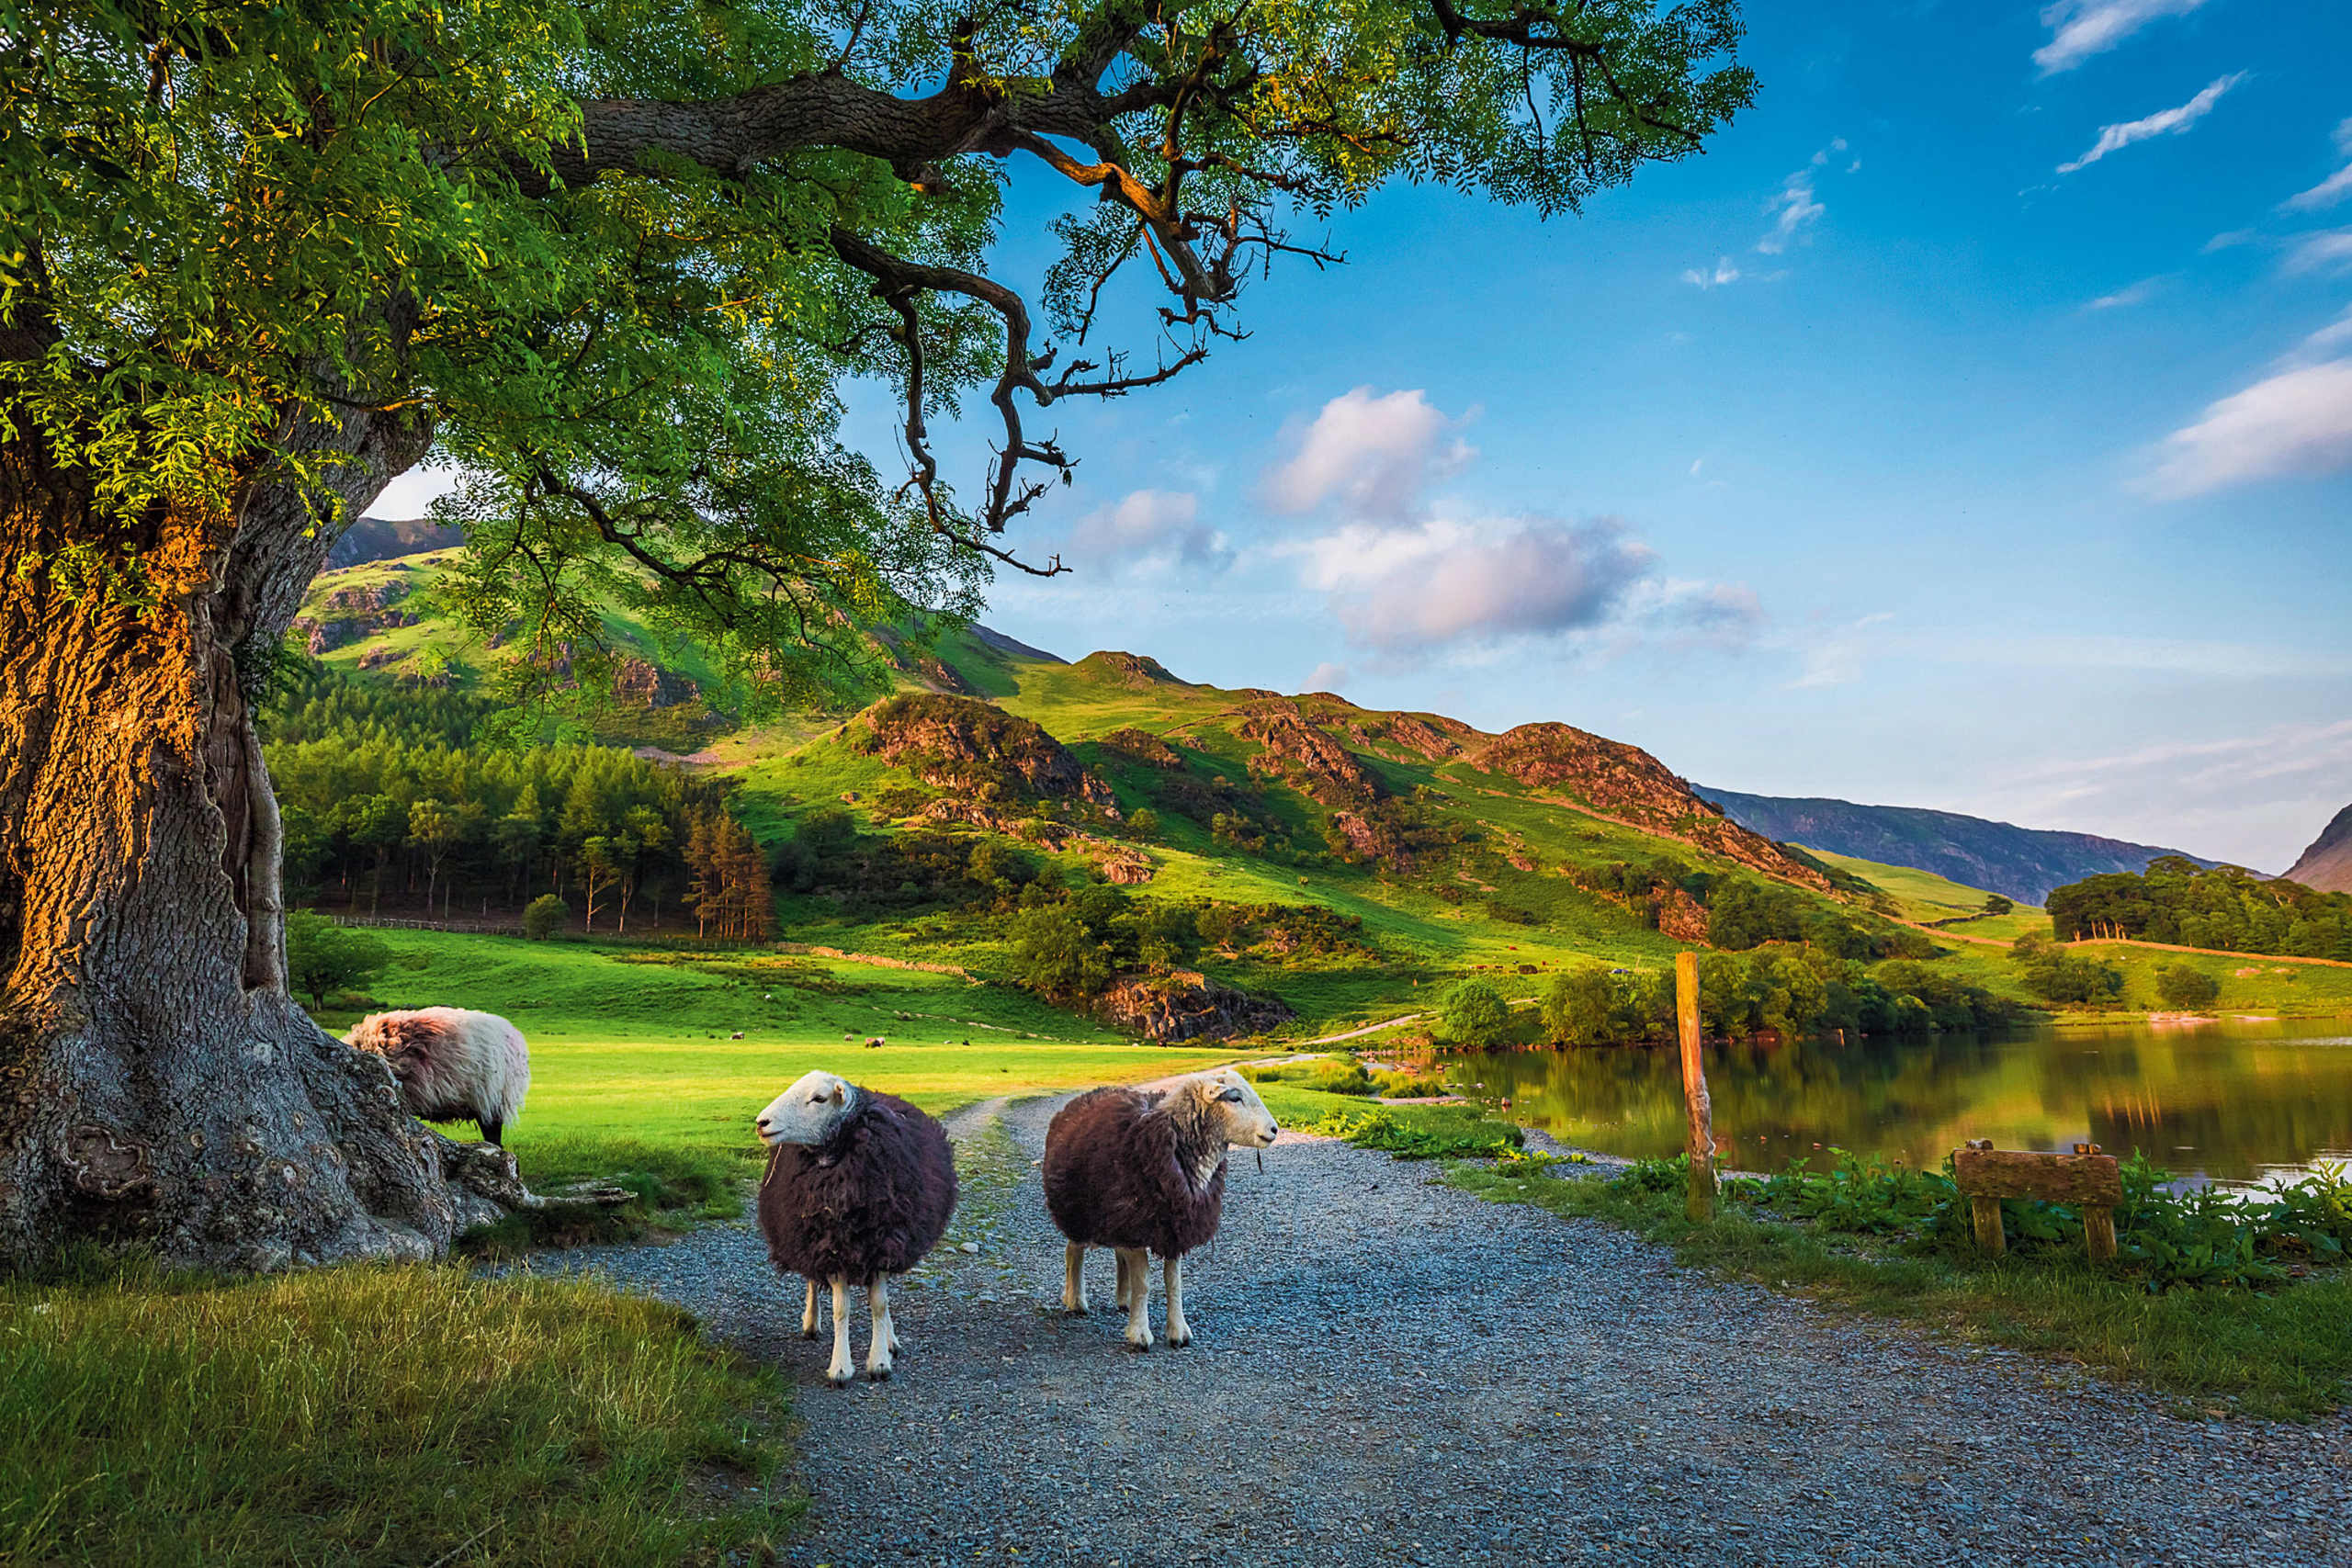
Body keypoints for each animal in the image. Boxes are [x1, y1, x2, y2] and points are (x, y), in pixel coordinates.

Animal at [755, 1069, 957, 1385]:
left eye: (819, 1098)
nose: (761, 1123)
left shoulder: (885, 1244)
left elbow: (880, 1304)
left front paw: (879, 1362)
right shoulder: (830, 1247)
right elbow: (841, 1310)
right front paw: (840, 1367)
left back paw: (890, 1340)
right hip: (806, 1238)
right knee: (812, 1279)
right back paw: (811, 1323)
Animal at [1041, 1067, 1278, 1351]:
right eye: (1234, 1098)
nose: (1274, 1129)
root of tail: (1085, 1097)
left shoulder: (1174, 1225)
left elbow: (1173, 1283)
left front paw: (1178, 1332)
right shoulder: (1140, 1220)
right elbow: (1144, 1282)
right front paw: (1140, 1334)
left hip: (1119, 1216)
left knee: (1118, 1255)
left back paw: (1124, 1299)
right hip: (1080, 1210)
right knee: (1073, 1252)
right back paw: (1076, 1301)